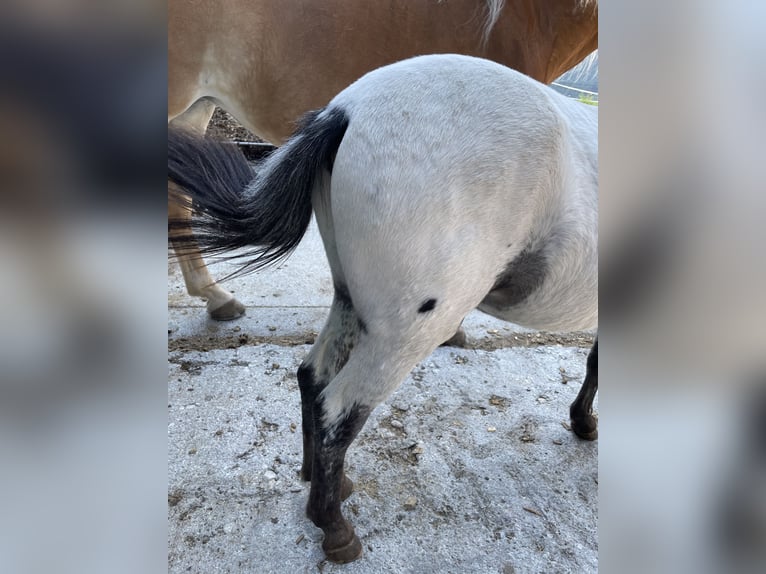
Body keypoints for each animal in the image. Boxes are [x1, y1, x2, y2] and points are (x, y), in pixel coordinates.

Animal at [168, 53, 598, 563]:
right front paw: (585, 423)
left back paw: (327, 484)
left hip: (349, 302)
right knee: (339, 410)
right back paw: (335, 529)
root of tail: (346, 111)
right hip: (405, 334)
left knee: (312, 376)